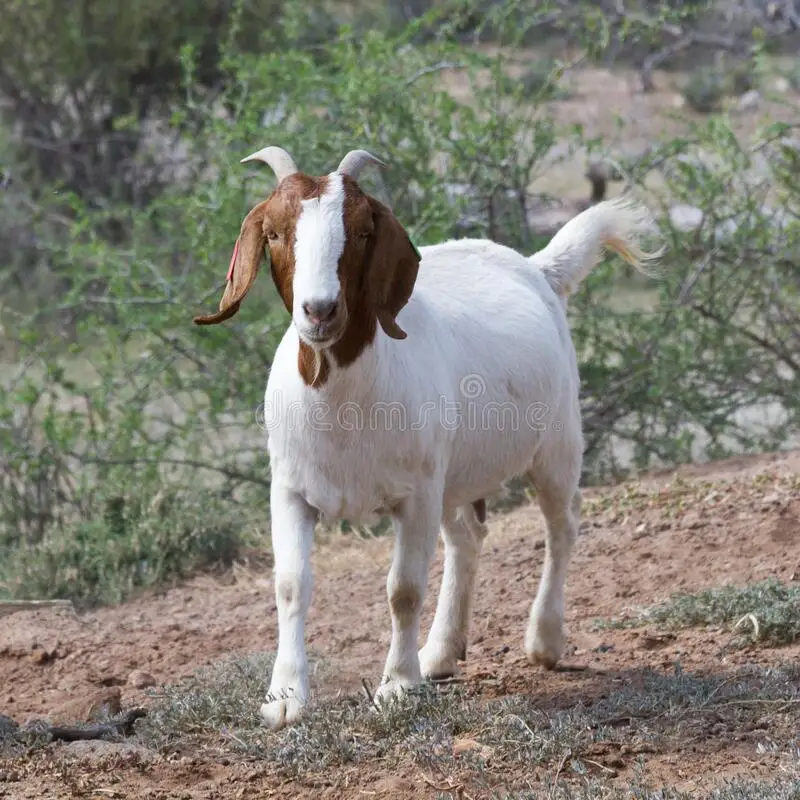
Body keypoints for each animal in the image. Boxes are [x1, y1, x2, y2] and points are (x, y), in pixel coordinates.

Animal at [194, 146, 663, 729]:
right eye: (276, 233)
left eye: (363, 230)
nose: (320, 311)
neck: (343, 405)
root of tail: (537, 268)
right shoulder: (291, 490)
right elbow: (290, 585)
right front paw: (284, 697)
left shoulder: (414, 495)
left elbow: (404, 589)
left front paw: (396, 686)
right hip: (454, 473)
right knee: (467, 537)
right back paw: (439, 653)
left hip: (556, 443)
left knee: (562, 526)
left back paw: (545, 640)